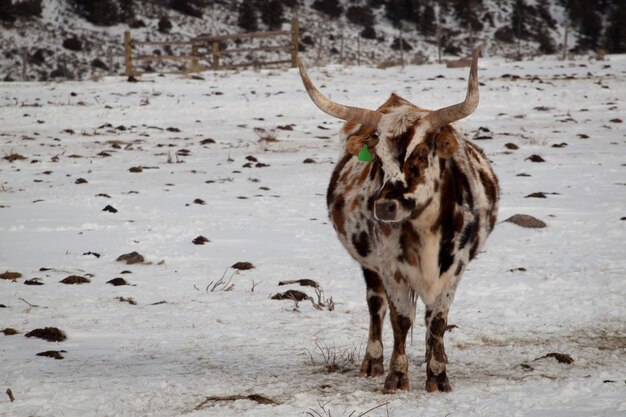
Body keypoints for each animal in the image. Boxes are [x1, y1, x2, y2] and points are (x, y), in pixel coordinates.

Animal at [296, 48, 498, 390]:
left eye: (420, 154)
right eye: (378, 158)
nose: (386, 207)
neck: (424, 230)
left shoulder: (455, 267)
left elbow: (437, 321)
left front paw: (438, 375)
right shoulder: (390, 266)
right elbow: (400, 319)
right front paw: (397, 375)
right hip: (370, 266)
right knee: (375, 305)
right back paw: (373, 360)